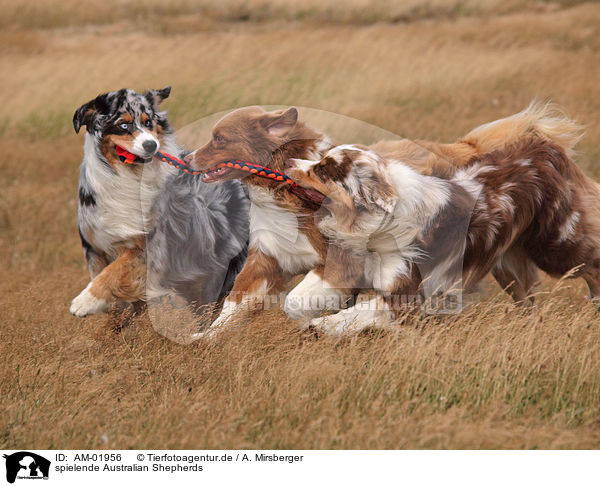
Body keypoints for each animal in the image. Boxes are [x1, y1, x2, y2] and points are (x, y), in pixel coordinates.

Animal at [185, 100, 584, 332]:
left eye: (219, 138)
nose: (187, 158)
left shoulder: (340, 260)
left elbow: (296, 302)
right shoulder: (267, 259)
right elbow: (234, 304)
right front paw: (203, 339)